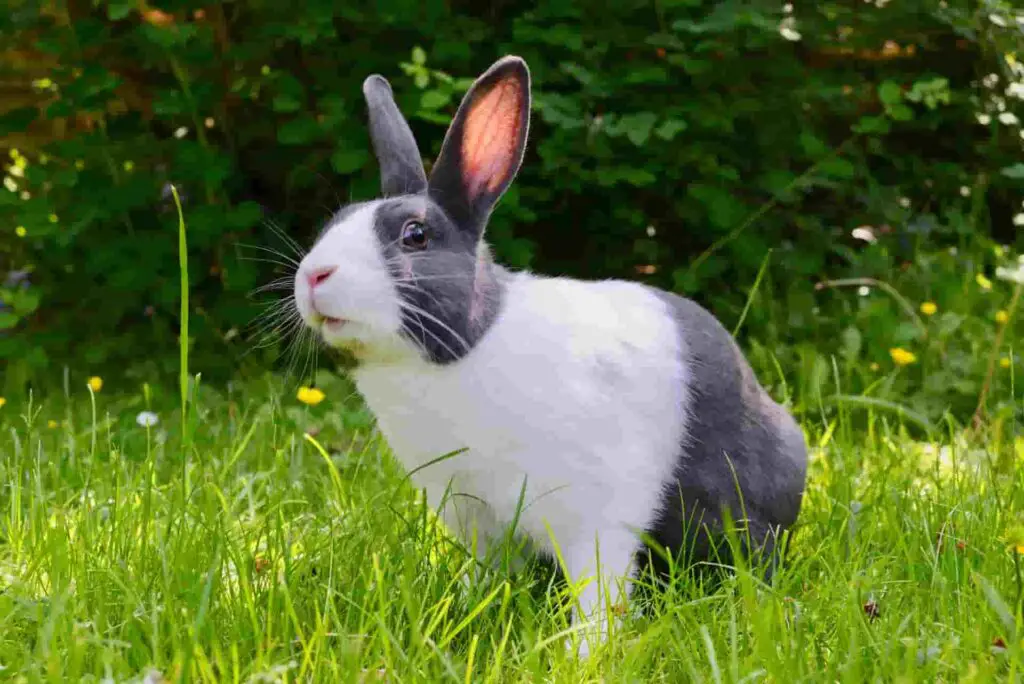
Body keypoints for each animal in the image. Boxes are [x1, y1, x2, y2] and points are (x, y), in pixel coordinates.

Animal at [294, 54, 806, 655]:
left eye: (415, 235)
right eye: (334, 222)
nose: (314, 275)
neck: (463, 353)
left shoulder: (596, 516)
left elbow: (598, 590)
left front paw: (584, 655)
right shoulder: (472, 514)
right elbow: (485, 575)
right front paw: (463, 614)